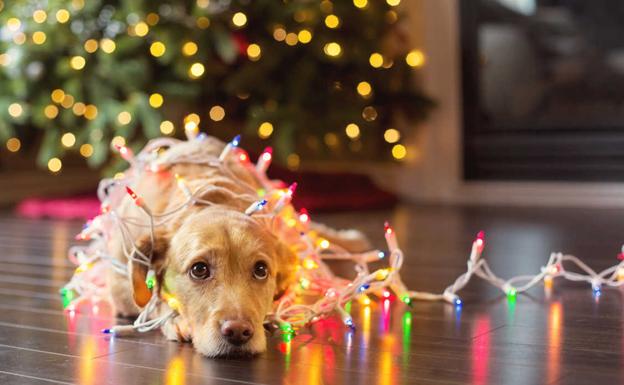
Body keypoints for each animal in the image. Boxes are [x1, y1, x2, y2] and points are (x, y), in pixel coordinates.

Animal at [107, 136, 370, 356]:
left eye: (261, 270)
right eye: (199, 269)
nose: (238, 332)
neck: (209, 199)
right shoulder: (118, 283)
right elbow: (153, 300)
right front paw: (174, 318)